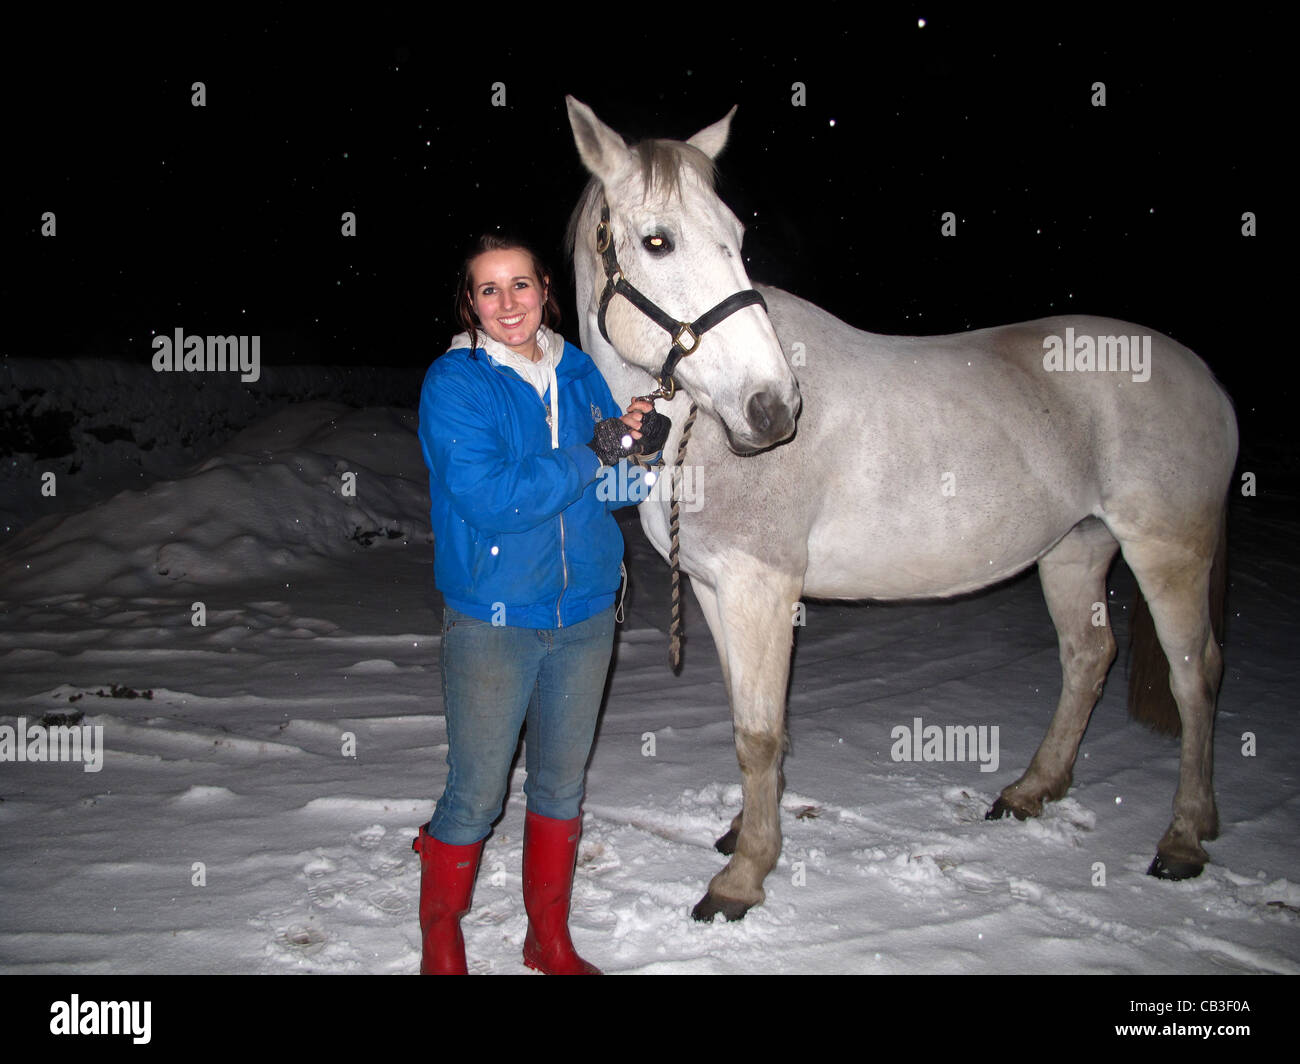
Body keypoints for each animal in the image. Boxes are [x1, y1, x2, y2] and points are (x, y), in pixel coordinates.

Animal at [563, 96, 1237, 923]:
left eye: (738, 239)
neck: (699, 426)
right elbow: (746, 718)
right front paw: (742, 834)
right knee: (1088, 657)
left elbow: (759, 733)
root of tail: (1204, 377)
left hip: (1167, 552)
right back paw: (1033, 790)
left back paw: (1184, 837)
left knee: (1194, 673)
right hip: (1075, 549)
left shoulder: (762, 587)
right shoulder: (718, 588)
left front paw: (743, 877)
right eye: (657, 241)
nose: (771, 408)